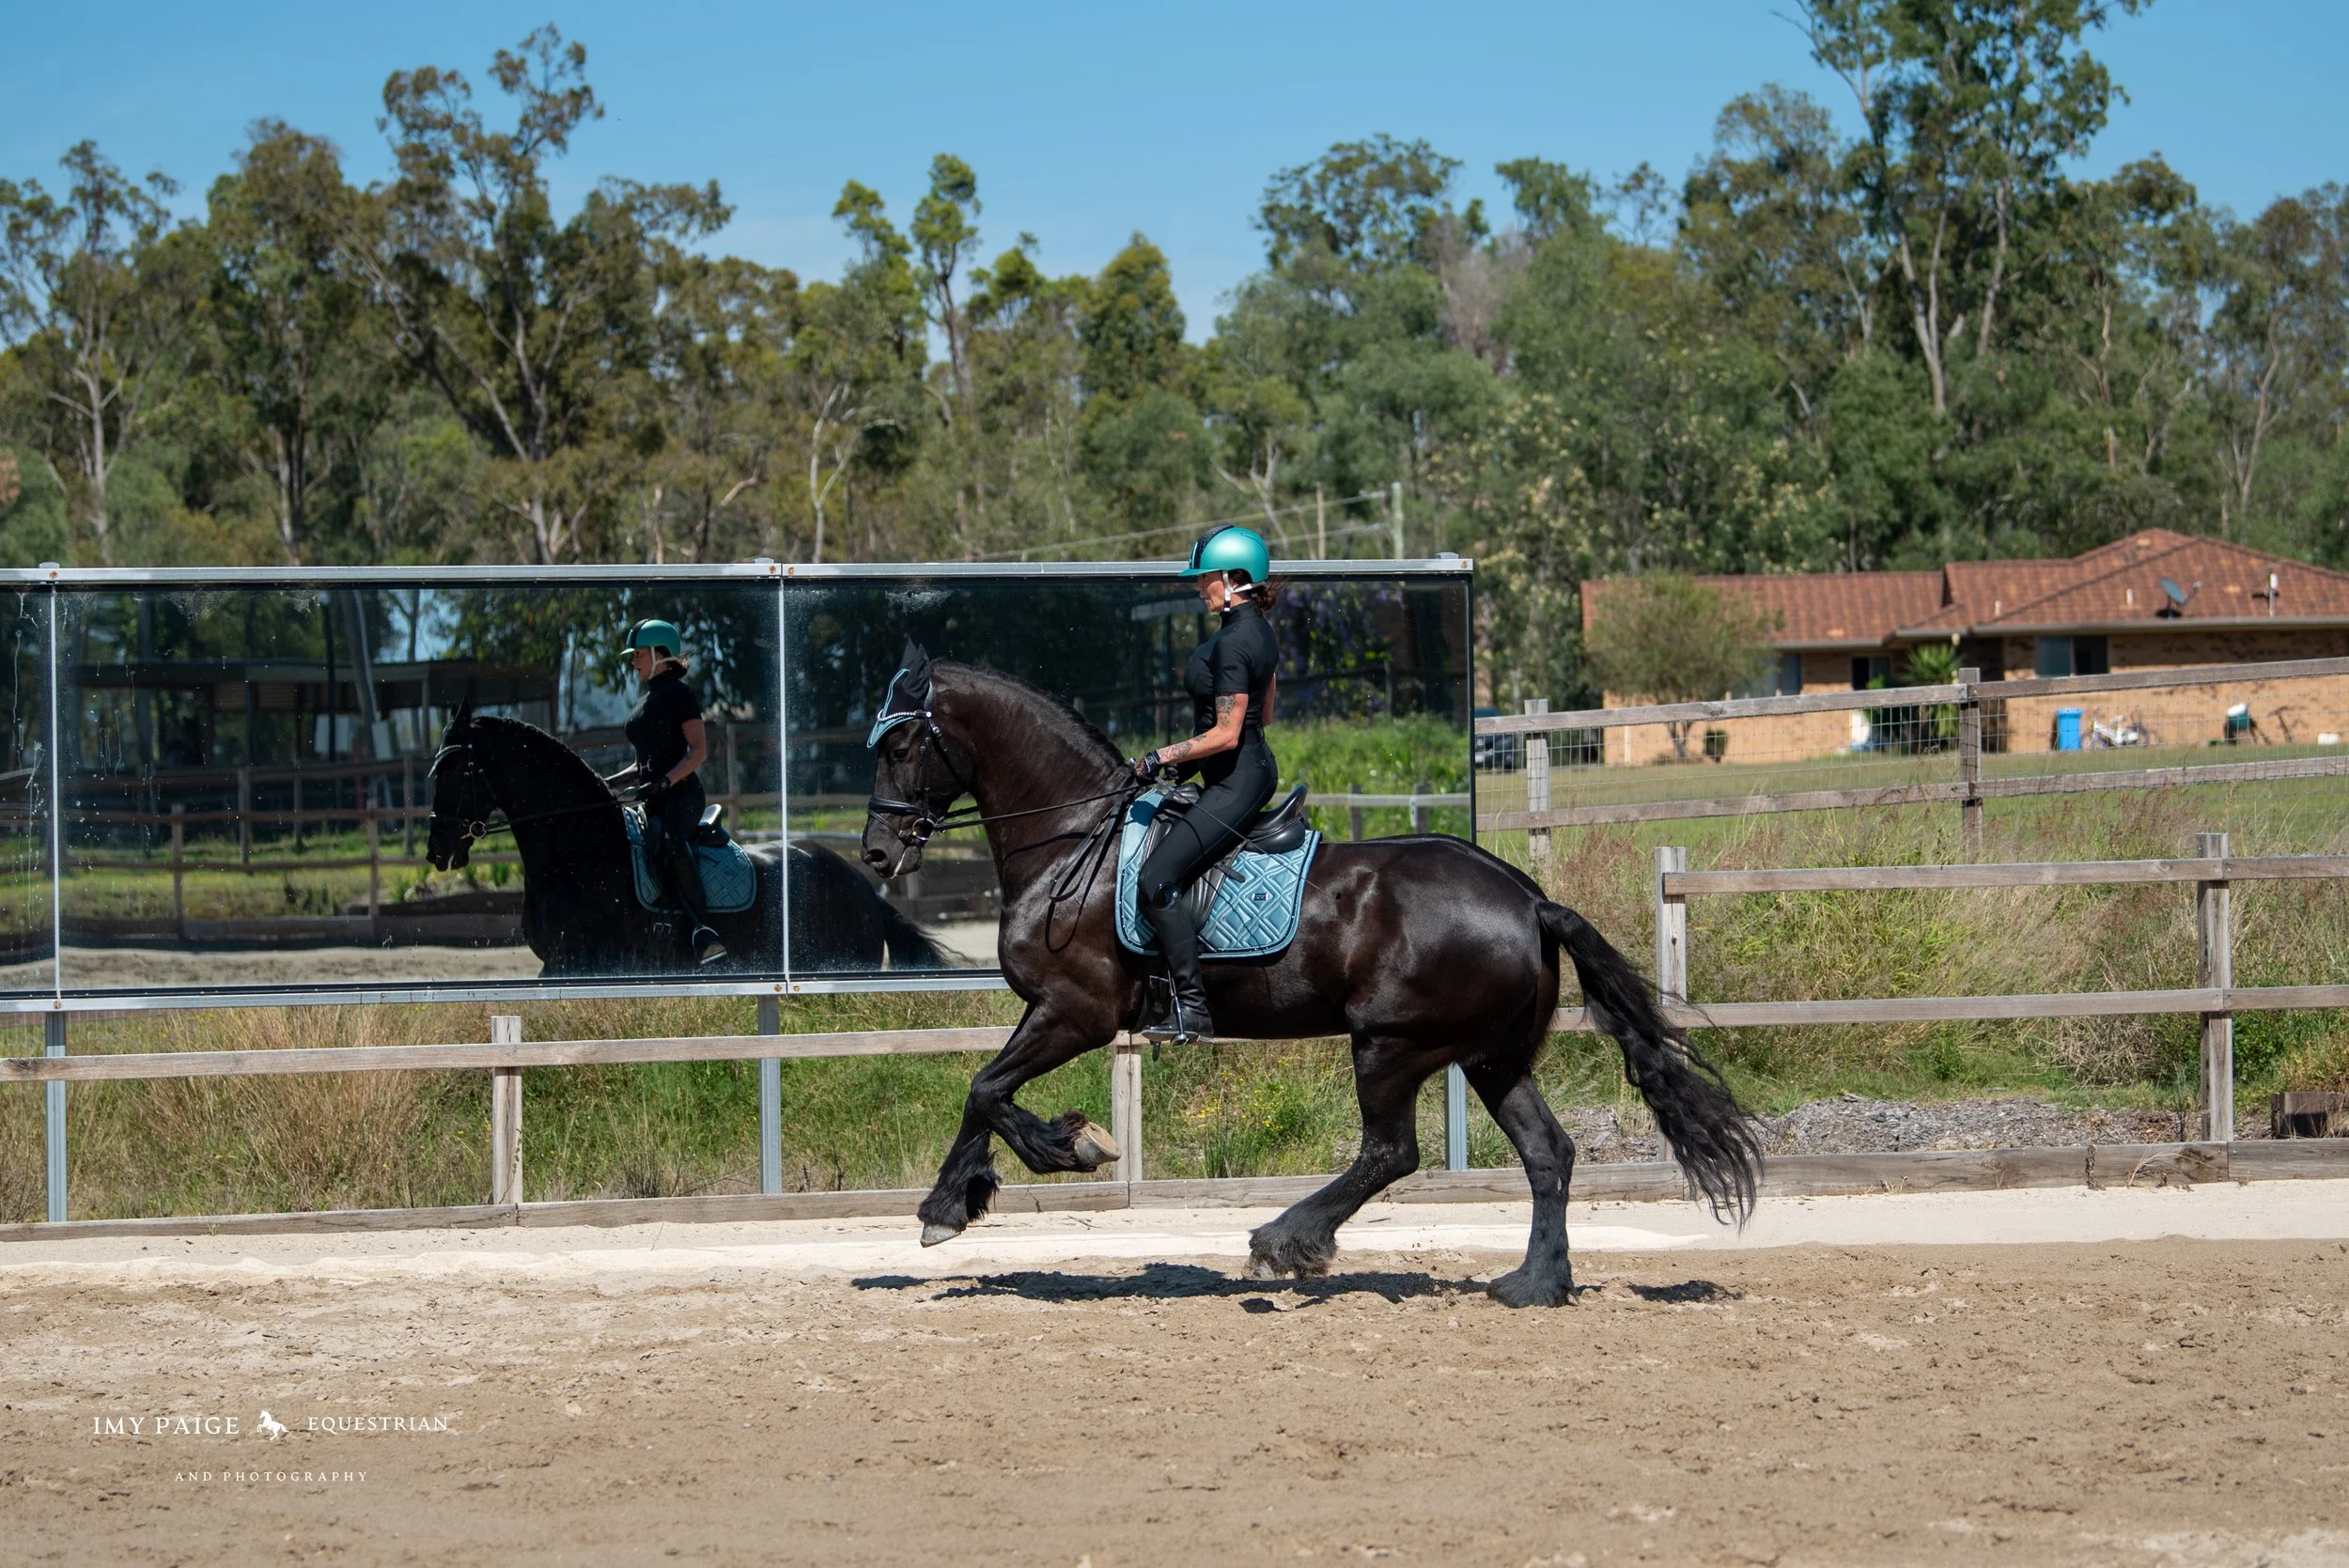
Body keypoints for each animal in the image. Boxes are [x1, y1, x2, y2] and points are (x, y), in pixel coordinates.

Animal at [860, 647, 1760, 1306]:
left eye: (901, 745)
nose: (876, 852)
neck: (1075, 836)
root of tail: (1530, 898)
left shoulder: (1076, 1009)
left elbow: (987, 1086)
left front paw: (1069, 1146)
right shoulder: (1052, 1010)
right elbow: (984, 1090)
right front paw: (950, 1205)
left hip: (1392, 1042)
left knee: (1391, 1151)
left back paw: (1284, 1241)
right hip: (1490, 1055)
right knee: (1549, 1153)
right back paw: (1534, 1283)